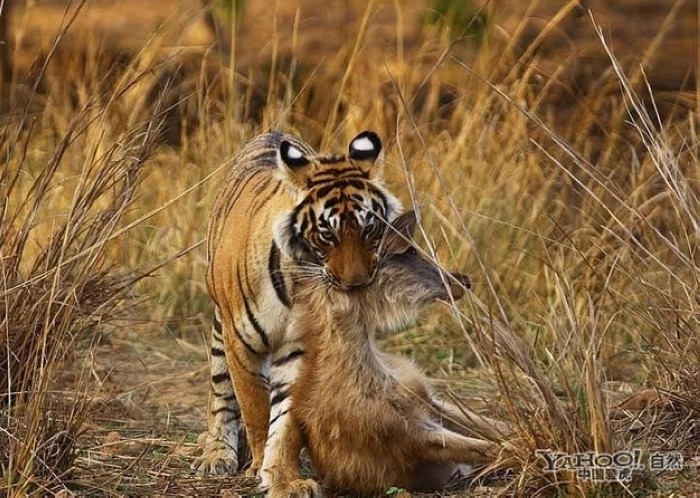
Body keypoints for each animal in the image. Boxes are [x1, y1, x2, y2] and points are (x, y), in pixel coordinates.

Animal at [191, 129, 402, 478]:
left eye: (368, 228)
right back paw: (217, 455)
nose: (356, 284)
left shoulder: (302, 350)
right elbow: (255, 408)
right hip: (222, 325)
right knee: (220, 392)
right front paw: (259, 464)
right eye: (327, 235)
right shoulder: (241, 344)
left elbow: (287, 414)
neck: (298, 283)